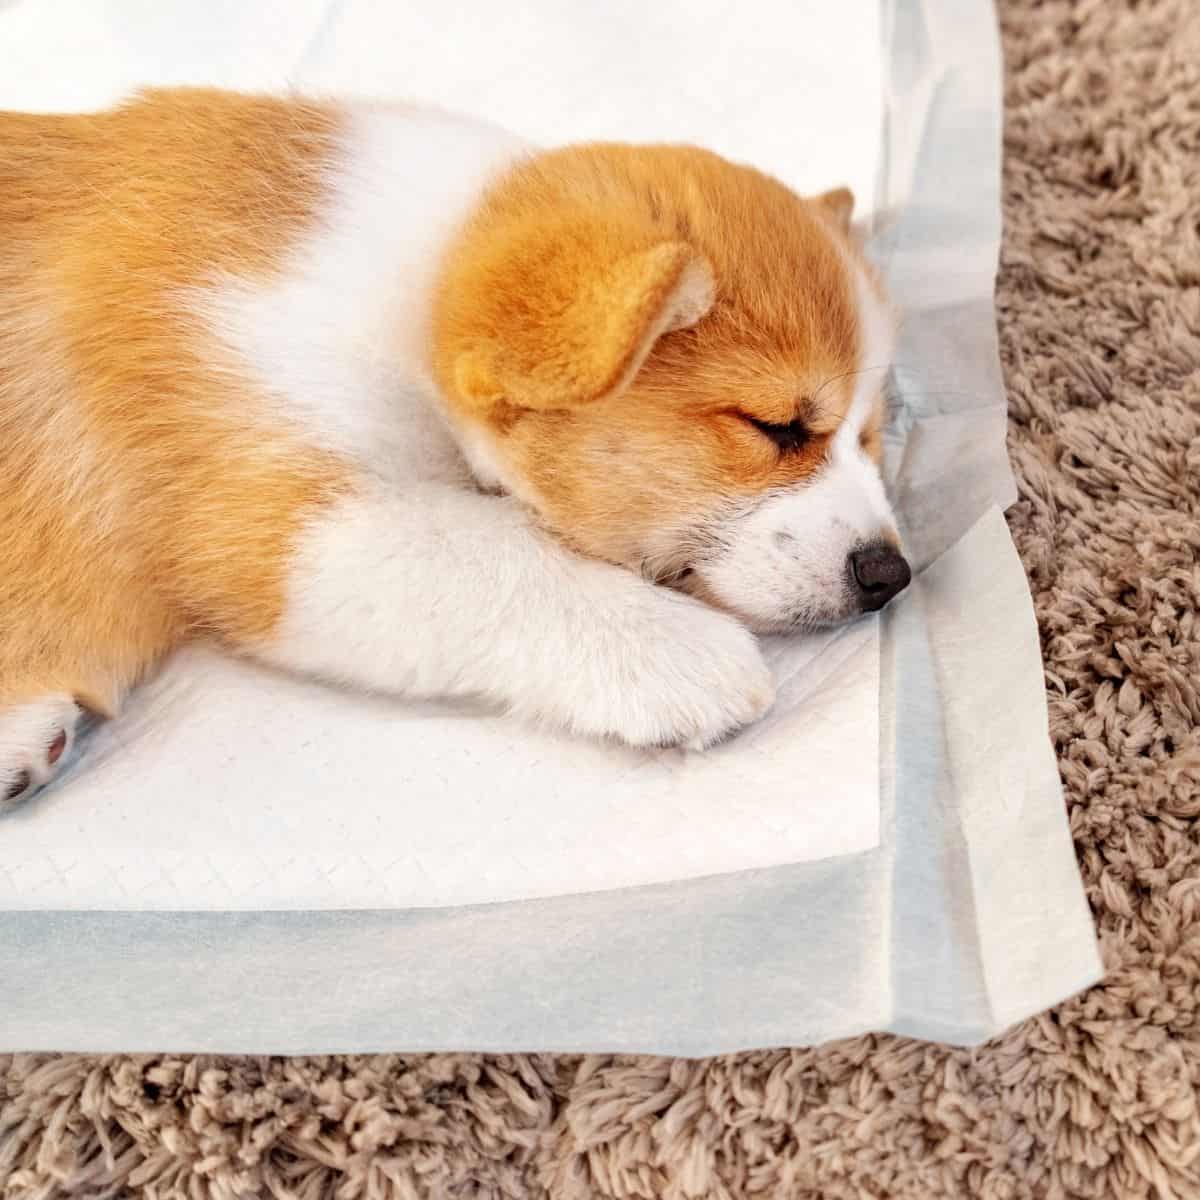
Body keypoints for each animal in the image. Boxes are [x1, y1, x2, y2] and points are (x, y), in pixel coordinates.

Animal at [0, 87, 902, 806]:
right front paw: (678, 652)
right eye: (774, 428)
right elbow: (489, 555)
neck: (410, 293)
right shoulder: (275, 521)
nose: (889, 576)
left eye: (868, 436)